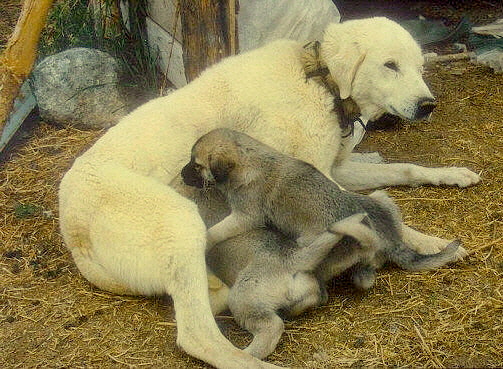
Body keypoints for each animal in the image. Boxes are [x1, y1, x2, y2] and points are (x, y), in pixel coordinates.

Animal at [183, 129, 462, 356]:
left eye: (196, 165)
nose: (182, 174)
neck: (252, 158)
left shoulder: (245, 215)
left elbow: (216, 231)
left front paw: (205, 239)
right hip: (382, 199)